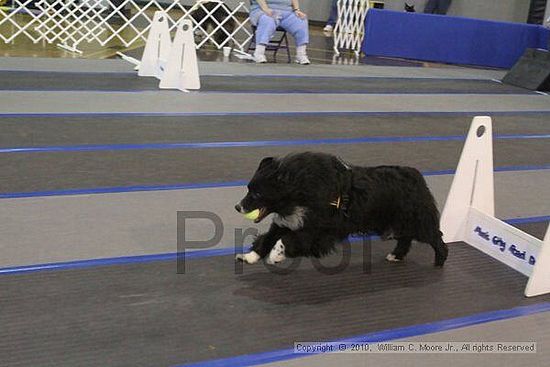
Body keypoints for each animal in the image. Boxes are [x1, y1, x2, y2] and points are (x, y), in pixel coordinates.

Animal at [235, 152, 450, 268]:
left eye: (257, 194)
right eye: (248, 188)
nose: (237, 207)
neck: (300, 191)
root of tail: (418, 176)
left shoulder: (318, 232)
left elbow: (287, 241)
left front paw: (275, 256)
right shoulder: (287, 222)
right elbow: (267, 238)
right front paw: (249, 256)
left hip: (416, 220)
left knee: (435, 237)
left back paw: (440, 261)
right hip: (395, 222)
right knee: (405, 238)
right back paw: (396, 255)